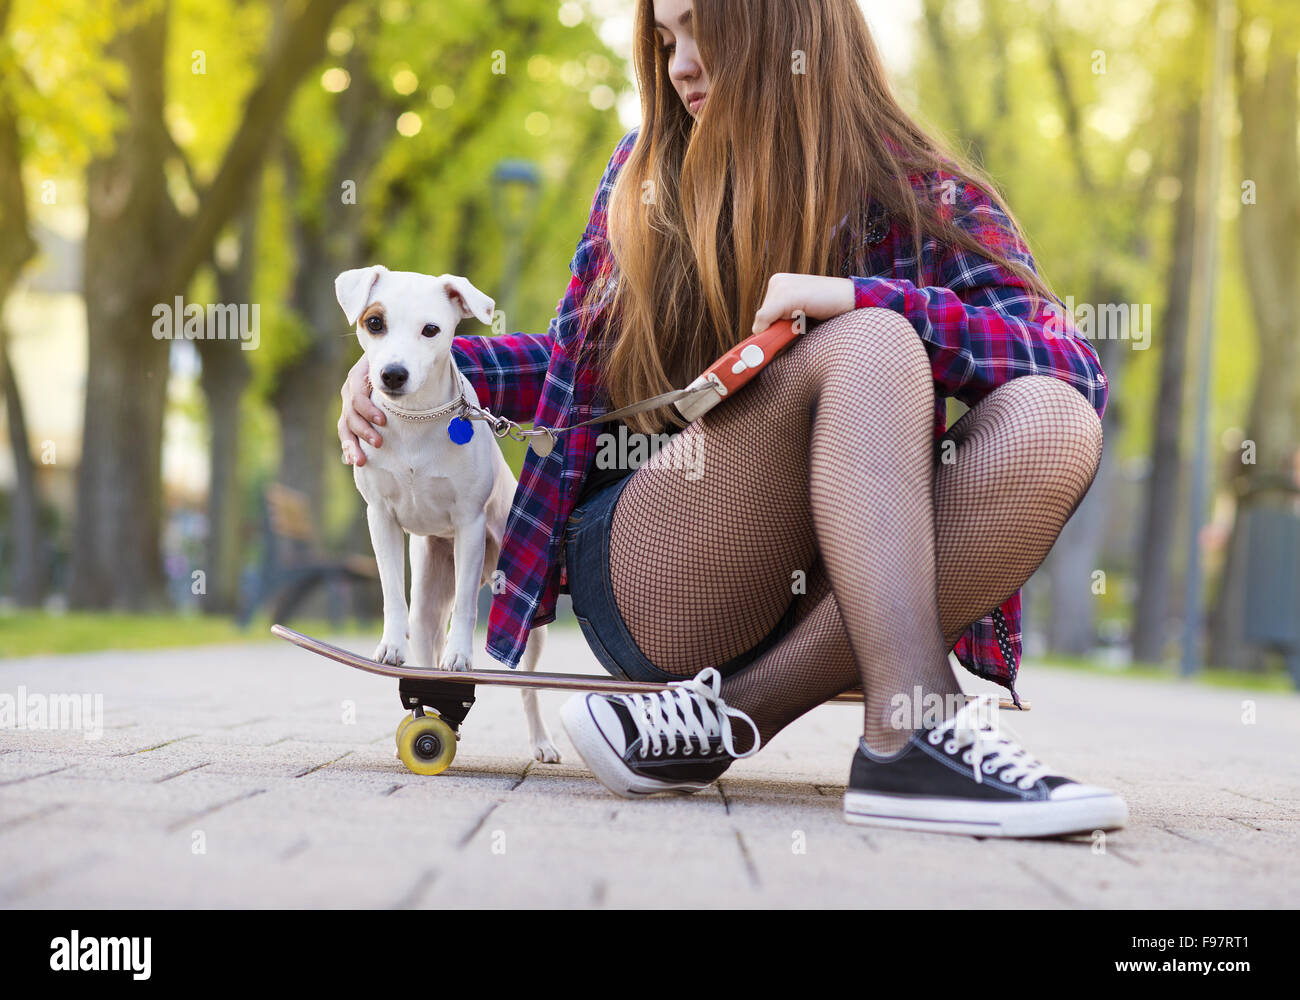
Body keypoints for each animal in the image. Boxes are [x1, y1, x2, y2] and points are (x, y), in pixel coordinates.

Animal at [335, 261, 559, 759]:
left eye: (431, 330)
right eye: (374, 322)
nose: (392, 374)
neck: (414, 423)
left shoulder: (469, 525)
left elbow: (469, 611)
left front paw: (461, 655)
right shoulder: (379, 517)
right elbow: (391, 590)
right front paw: (390, 645)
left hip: (530, 625)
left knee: (529, 688)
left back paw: (541, 741)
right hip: (430, 597)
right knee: (426, 646)